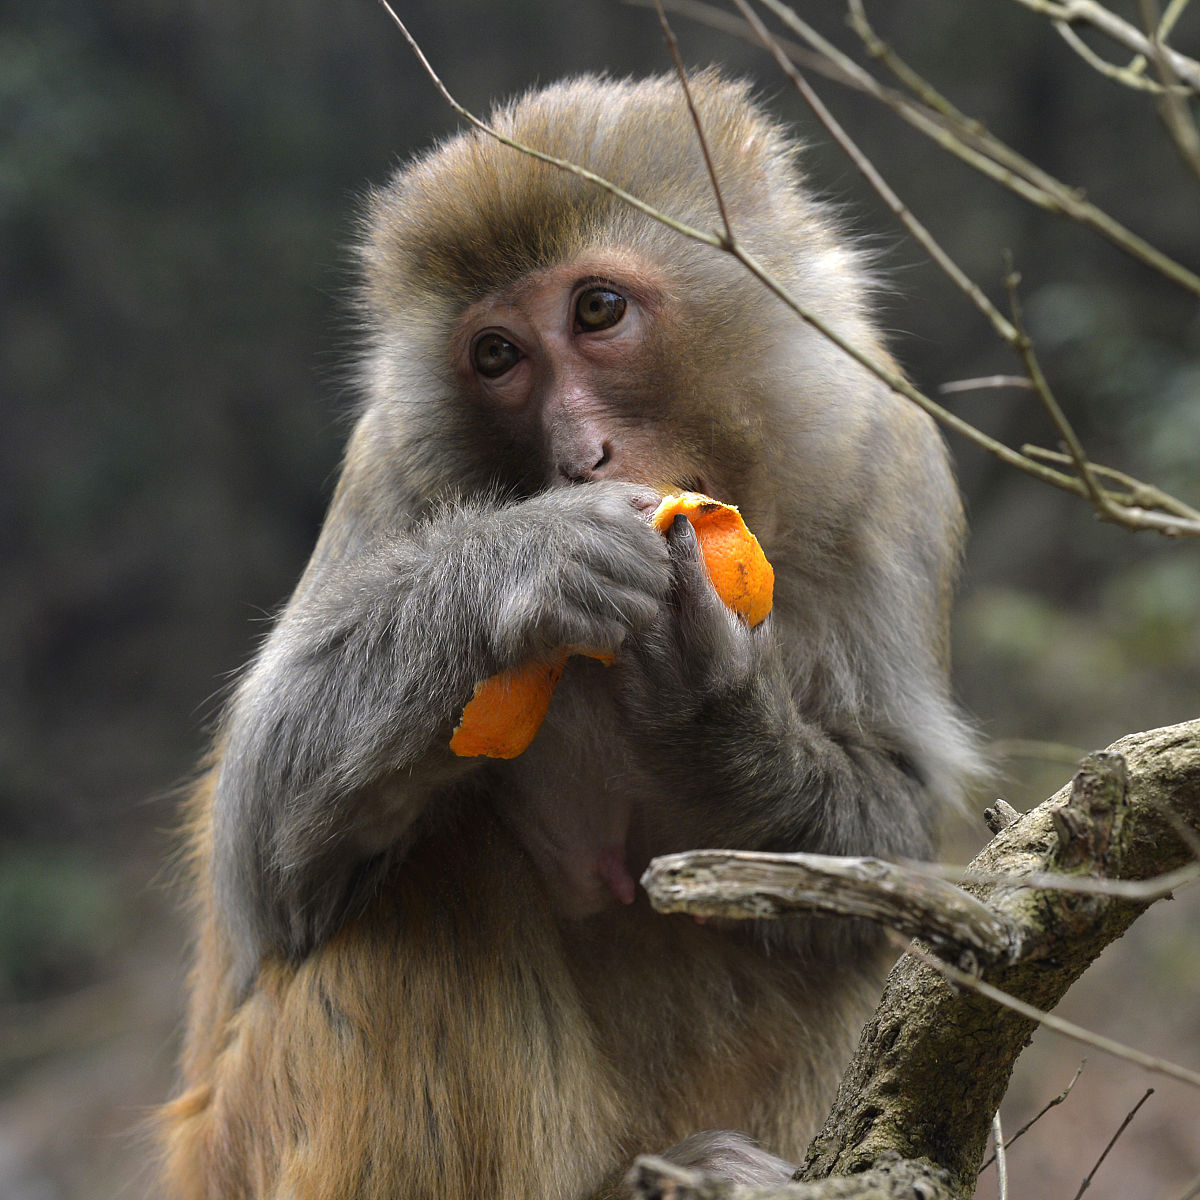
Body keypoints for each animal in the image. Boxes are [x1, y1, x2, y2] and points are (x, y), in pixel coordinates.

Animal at [159, 72, 979, 1200]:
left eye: (598, 311)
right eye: (496, 357)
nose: (578, 453)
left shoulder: (885, 461)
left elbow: (891, 840)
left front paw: (711, 715)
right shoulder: (394, 464)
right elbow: (261, 870)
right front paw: (524, 565)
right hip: (235, 1150)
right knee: (420, 885)